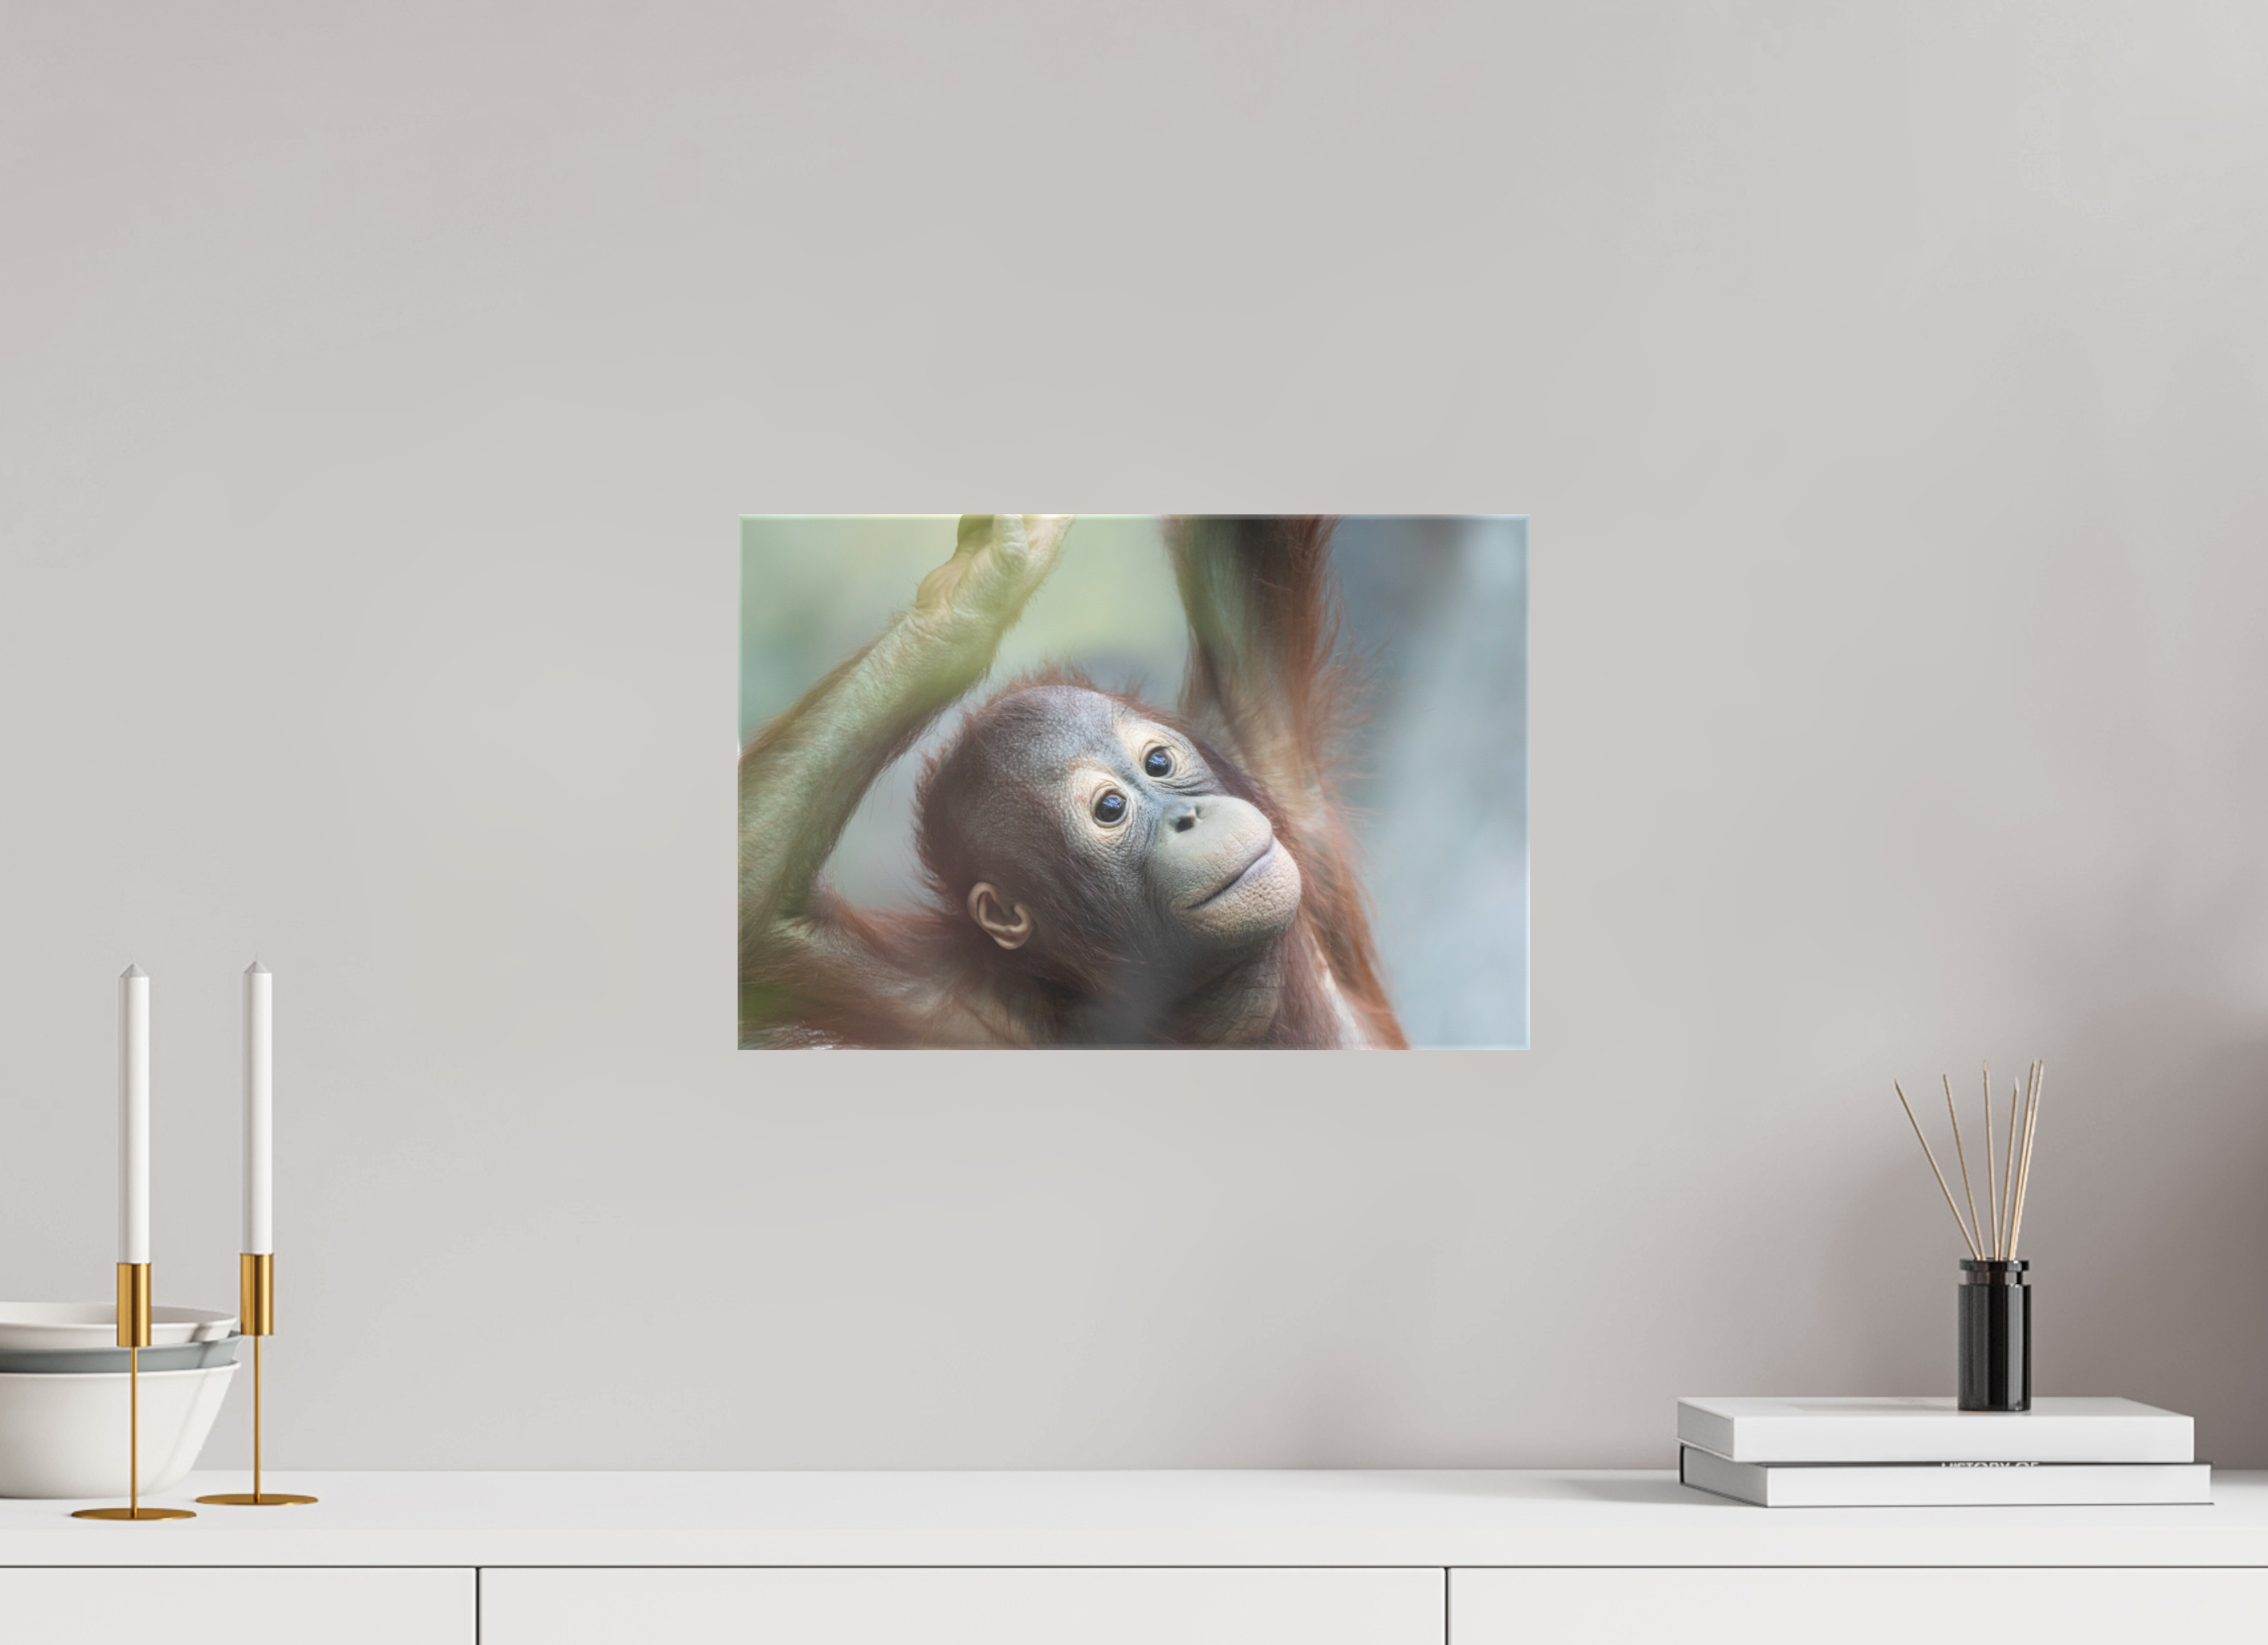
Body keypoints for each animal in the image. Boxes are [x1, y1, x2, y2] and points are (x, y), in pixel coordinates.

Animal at [737, 514, 1405, 1049]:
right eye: (1110, 809)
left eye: (1159, 764)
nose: (1187, 816)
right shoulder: (944, 1003)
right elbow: (766, 931)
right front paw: (968, 604)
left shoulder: (1250, 741)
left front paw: (979, 584)